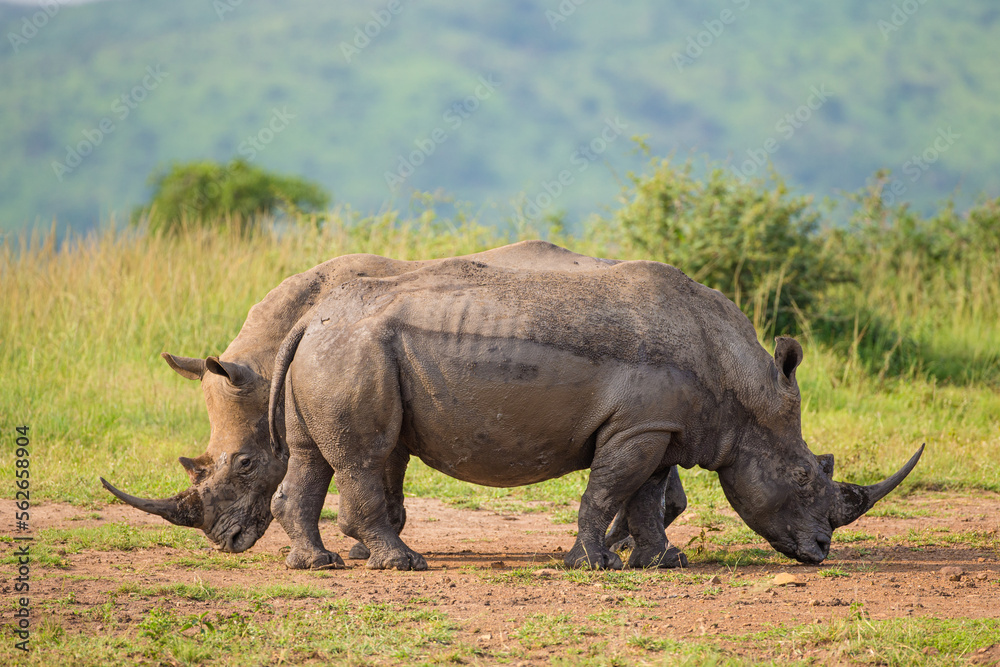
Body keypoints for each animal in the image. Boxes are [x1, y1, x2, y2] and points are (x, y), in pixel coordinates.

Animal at [103, 241, 922, 570]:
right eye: (806, 478)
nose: (820, 550)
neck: (745, 391)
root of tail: (315, 321)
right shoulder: (642, 426)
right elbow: (607, 490)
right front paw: (593, 566)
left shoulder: (656, 425)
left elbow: (641, 494)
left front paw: (658, 562)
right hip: (355, 350)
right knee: (359, 458)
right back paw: (399, 566)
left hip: (345, 347)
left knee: (318, 459)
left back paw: (321, 564)